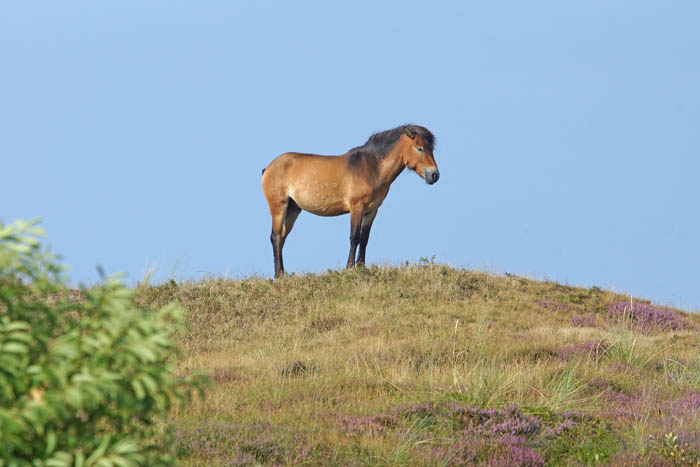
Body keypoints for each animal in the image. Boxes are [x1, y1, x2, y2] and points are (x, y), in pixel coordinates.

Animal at [261, 124, 439, 277]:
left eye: (431, 149)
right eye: (420, 148)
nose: (434, 175)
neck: (371, 168)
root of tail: (269, 168)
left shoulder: (372, 210)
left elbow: (364, 238)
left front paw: (362, 266)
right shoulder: (357, 207)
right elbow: (354, 237)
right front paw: (350, 268)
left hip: (293, 209)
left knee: (282, 238)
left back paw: (282, 273)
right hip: (278, 208)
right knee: (275, 237)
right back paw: (278, 275)